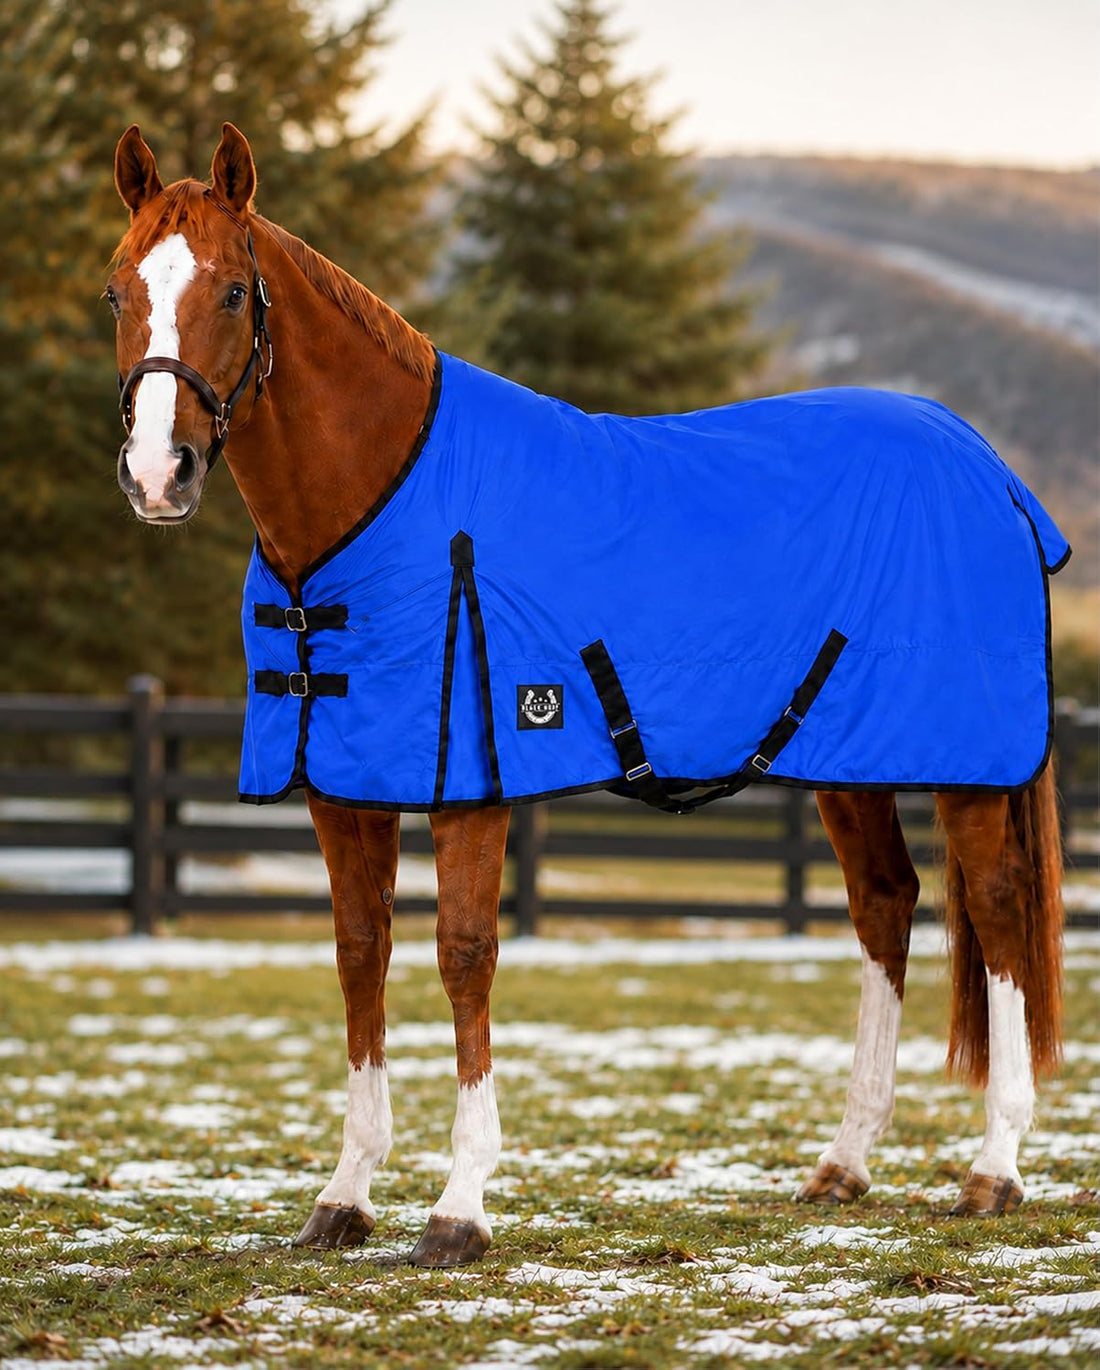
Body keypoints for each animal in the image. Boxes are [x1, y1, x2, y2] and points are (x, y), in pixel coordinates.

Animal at [106, 123, 1065, 1268]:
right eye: (117, 291)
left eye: (235, 291)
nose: (157, 474)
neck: (377, 504)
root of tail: (989, 468)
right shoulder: (343, 782)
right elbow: (359, 955)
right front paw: (345, 1194)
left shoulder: (467, 783)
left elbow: (463, 956)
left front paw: (460, 1204)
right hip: (849, 759)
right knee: (885, 904)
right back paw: (844, 1161)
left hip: (966, 762)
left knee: (998, 910)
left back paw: (995, 1166)